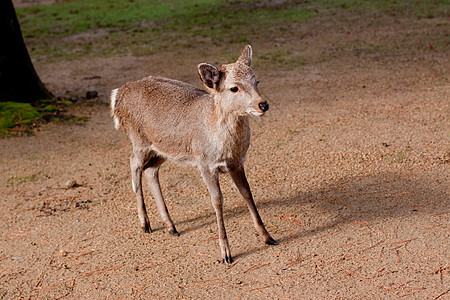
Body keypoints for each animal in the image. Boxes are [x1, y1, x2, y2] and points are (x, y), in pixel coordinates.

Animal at [110, 45, 276, 264]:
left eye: (256, 81)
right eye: (234, 88)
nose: (263, 104)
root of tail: (117, 96)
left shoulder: (237, 163)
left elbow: (247, 193)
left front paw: (269, 237)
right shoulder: (205, 164)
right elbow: (217, 200)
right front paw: (226, 254)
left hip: (163, 149)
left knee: (150, 171)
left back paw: (171, 226)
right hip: (139, 140)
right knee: (133, 164)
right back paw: (145, 224)